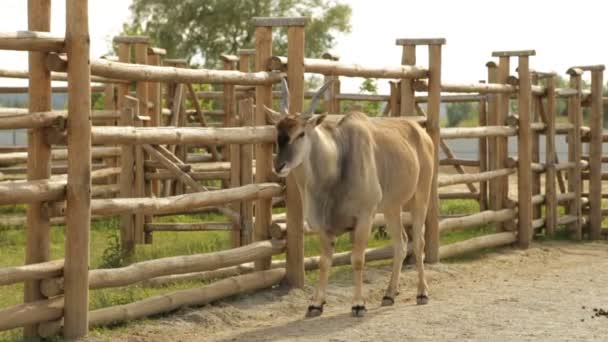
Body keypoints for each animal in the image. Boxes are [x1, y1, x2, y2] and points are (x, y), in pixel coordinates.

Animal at [264, 79, 432, 316]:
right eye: (277, 132)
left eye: (301, 133)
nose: (279, 165)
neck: (338, 160)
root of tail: (422, 133)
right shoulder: (323, 227)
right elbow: (324, 262)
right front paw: (316, 304)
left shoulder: (364, 218)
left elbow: (358, 259)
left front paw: (358, 304)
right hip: (391, 207)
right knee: (400, 244)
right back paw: (389, 295)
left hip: (421, 197)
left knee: (418, 242)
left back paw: (422, 292)